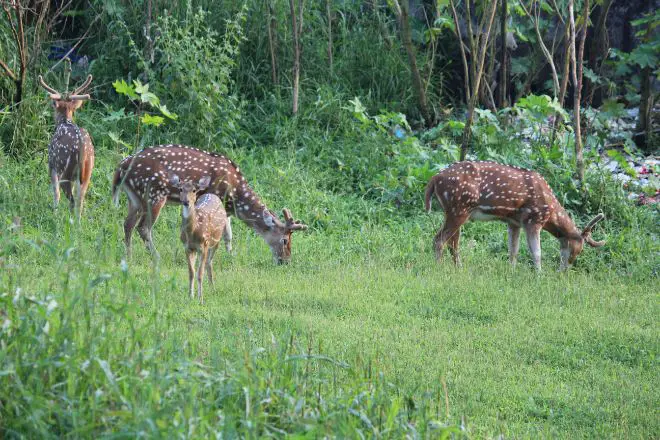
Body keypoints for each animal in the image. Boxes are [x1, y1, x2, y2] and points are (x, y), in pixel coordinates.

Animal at [38, 74, 94, 222]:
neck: (64, 122)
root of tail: (82, 149)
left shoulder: (51, 164)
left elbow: (55, 192)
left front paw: (55, 212)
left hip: (65, 170)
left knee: (72, 199)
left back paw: (66, 221)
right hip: (87, 173)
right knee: (80, 199)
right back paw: (77, 223)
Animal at [112, 145, 308, 262]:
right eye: (284, 240)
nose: (286, 261)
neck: (236, 197)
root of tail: (121, 167)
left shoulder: (226, 209)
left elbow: (228, 234)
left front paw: (231, 256)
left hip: (134, 198)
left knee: (127, 224)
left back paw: (128, 255)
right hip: (154, 193)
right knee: (143, 227)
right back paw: (156, 256)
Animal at [171, 174, 231, 302]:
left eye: (194, 190)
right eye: (180, 189)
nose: (186, 201)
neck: (193, 232)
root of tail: (212, 194)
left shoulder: (204, 245)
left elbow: (199, 273)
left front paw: (200, 298)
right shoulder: (187, 247)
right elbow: (191, 272)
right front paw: (190, 296)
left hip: (216, 240)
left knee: (209, 261)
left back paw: (213, 288)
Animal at [426, 162, 604, 272]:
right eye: (579, 249)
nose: (563, 271)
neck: (550, 212)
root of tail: (434, 179)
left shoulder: (514, 222)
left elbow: (513, 250)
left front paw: (511, 270)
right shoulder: (533, 220)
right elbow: (537, 252)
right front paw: (539, 275)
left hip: (455, 211)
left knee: (453, 243)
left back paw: (459, 268)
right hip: (458, 208)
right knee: (439, 240)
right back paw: (438, 268)